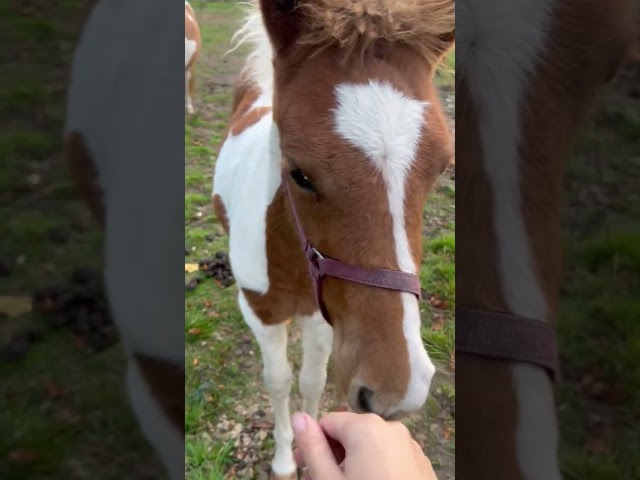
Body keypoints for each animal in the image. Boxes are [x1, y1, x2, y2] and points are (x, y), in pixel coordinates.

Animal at [211, 0, 454, 478]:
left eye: (441, 168)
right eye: (300, 174)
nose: (396, 391)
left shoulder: (321, 314)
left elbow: (312, 380)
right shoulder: (259, 311)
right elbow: (278, 381)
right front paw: (285, 460)